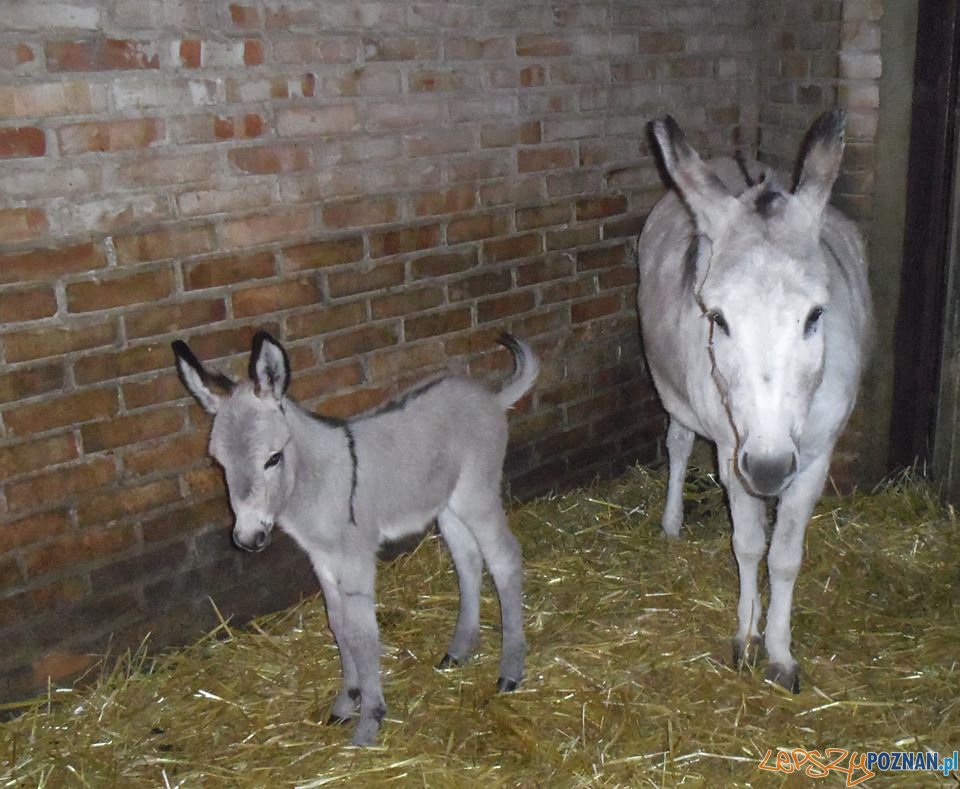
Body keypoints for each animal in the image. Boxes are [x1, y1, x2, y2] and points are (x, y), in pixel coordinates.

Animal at [169, 330, 536, 744]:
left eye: (273, 458)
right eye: (219, 464)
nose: (248, 539)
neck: (313, 483)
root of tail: (489, 397)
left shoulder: (357, 559)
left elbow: (362, 635)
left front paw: (369, 723)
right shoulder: (323, 560)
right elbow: (339, 626)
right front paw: (348, 699)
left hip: (477, 495)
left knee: (504, 559)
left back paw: (510, 671)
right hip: (447, 505)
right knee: (468, 561)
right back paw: (458, 651)